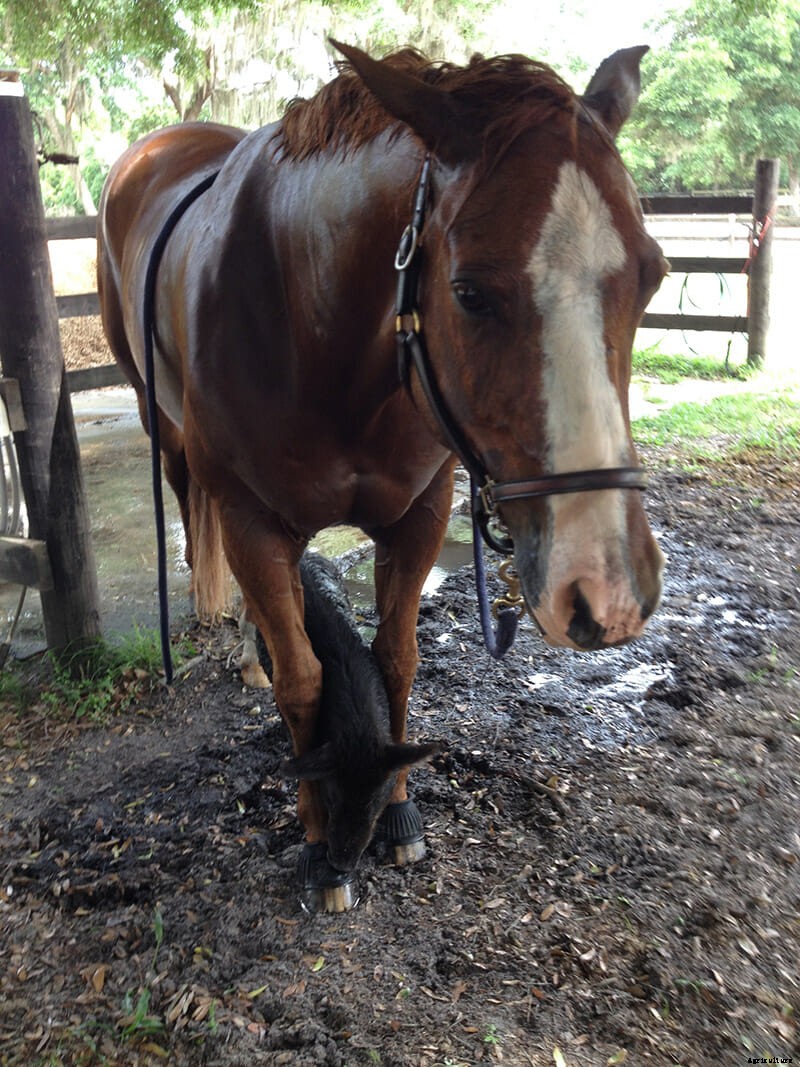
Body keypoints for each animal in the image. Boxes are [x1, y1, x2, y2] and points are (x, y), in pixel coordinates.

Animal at [97, 40, 667, 910]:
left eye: (655, 275)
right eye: (469, 292)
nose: (606, 590)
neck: (313, 319)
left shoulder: (420, 512)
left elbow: (396, 657)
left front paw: (396, 811)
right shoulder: (254, 521)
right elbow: (302, 676)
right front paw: (315, 826)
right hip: (159, 418)